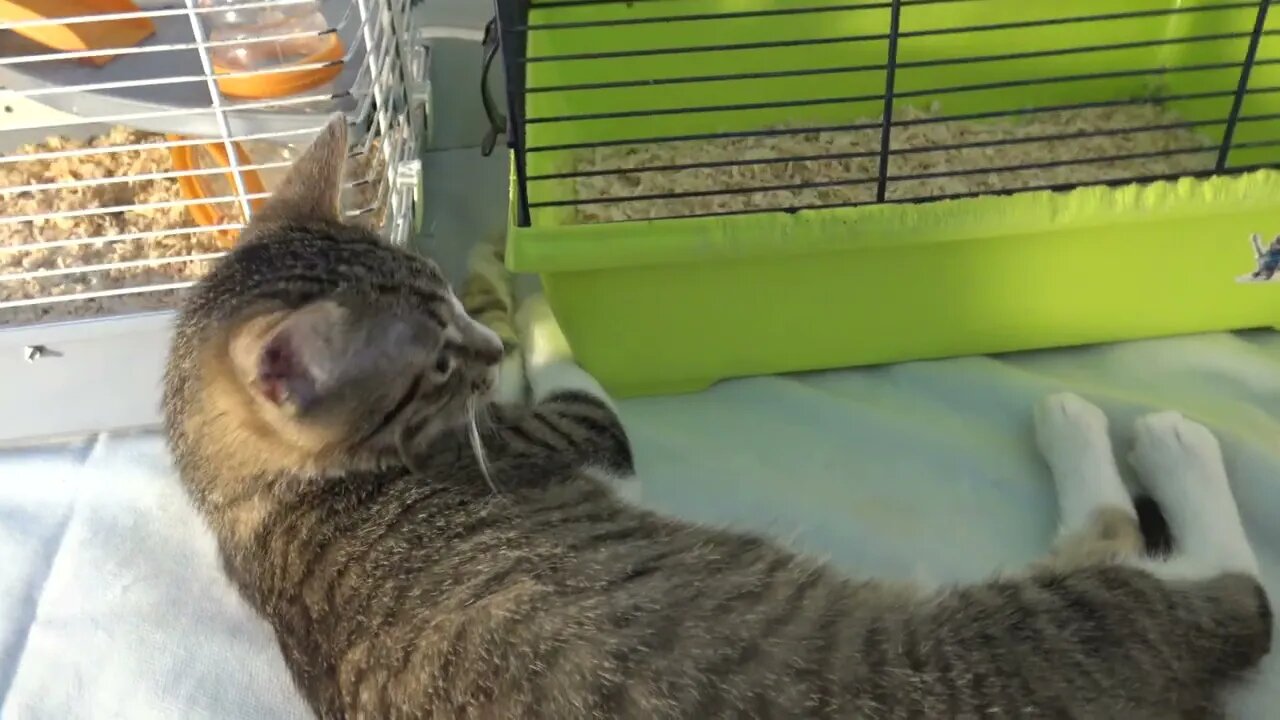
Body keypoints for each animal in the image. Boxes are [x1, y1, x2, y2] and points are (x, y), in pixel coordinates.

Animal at [165, 114, 1274, 712]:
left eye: (442, 300)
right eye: (435, 359)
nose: (479, 349)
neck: (252, 498)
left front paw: (508, 295)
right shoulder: (577, 436)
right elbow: (574, 374)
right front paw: (535, 302)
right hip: (1050, 634)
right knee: (1221, 588)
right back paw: (1139, 433)